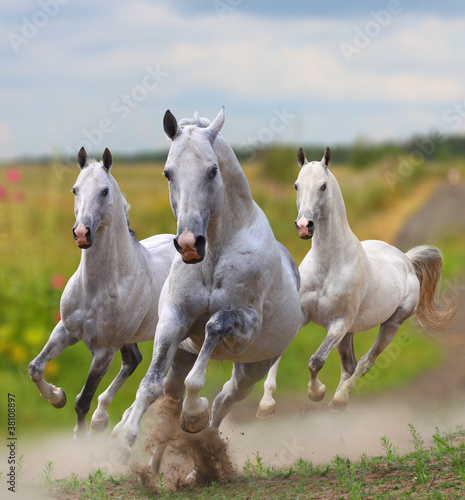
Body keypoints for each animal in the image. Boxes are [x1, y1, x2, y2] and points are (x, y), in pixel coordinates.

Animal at [28, 148, 176, 438]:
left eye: (105, 191)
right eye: (75, 189)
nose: (81, 233)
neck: (95, 289)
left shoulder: (104, 351)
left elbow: (82, 400)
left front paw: (81, 437)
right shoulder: (66, 331)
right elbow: (35, 368)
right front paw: (57, 397)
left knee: (158, 377)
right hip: (129, 338)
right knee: (134, 361)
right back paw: (103, 419)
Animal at [112, 108, 300, 464]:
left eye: (213, 171)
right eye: (168, 173)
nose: (189, 244)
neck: (214, 254)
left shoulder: (246, 324)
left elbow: (214, 325)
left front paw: (194, 413)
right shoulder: (173, 320)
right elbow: (150, 385)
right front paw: (124, 440)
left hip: (252, 369)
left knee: (223, 401)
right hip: (182, 357)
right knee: (170, 398)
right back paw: (151, 465)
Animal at [256, 146, 454, 412]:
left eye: (323, 186)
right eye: (296, 185)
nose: (304, 226)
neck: (328, 266)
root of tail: (406, 260)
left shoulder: (338, 323)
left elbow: (316, 361)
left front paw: (316, 392)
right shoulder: (303, 316)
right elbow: (278, 353)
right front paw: (266, 404)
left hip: (390, 324)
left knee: (365, 362)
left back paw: (339, 399)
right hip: (349, 332)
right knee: (349, 365)